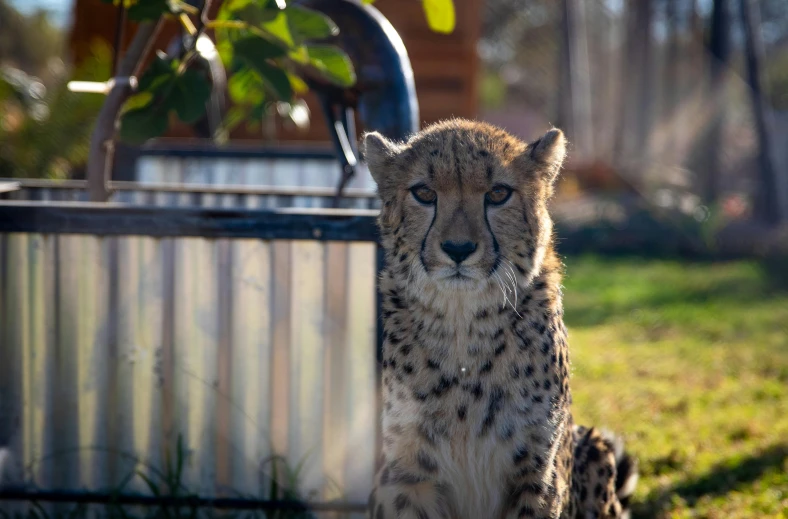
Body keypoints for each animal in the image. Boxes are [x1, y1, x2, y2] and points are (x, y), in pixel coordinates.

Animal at [364, 119, 640, 519]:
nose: (458, 249)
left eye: (497, 194)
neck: (463, 323)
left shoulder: (537, 476)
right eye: (424, 193)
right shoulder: (406, 478)